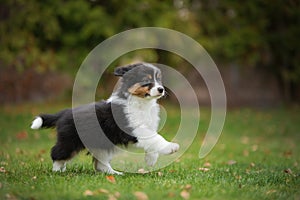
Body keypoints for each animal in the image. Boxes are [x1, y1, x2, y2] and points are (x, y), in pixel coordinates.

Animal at [30, 63, 179, 174]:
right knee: (57, 153)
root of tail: (65, 112)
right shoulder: (134, 128)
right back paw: (58, 171)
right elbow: (156, 137)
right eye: (146, 81)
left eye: (158, 80)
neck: (142, 102)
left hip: (100, 143)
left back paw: (114, 173)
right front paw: (171, 147)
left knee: (100, 164)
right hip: (70, 140)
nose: (161, 89)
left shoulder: (147, 126)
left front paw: (151, 160)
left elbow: (153, 140)